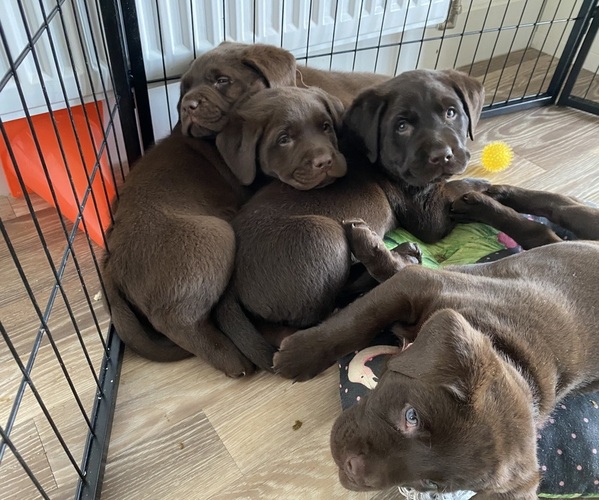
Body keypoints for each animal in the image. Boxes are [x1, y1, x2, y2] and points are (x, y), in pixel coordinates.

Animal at [274, 190, 599, 496]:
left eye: (431, 484)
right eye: (412, 416)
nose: (352, 471)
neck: (508, 351)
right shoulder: (421, 285)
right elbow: (359, 319)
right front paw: (300, 354)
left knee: (545, 228)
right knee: (557, 213)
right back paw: (484, 198)